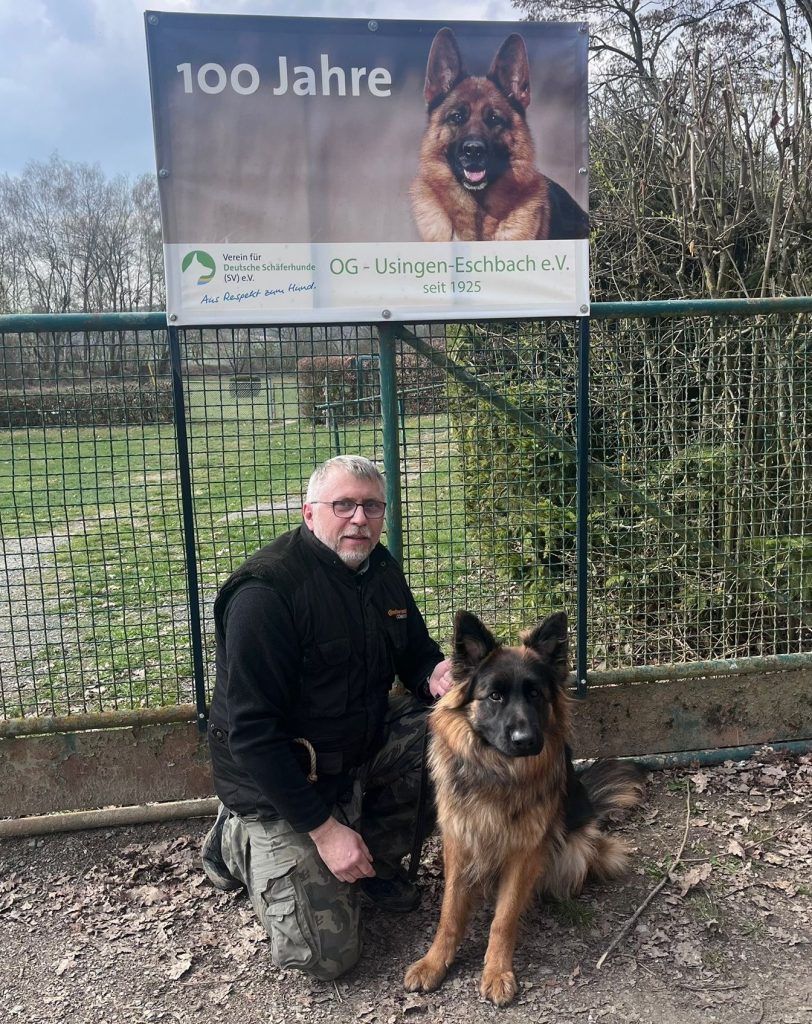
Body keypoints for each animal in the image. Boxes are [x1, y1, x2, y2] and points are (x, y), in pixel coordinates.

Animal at [403, 610, 644, 1007]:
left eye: (535, 694)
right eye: (494, 696)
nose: (526, 740)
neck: (499, 773)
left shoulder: (524, 851)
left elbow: (504, 919)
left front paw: (497, 972)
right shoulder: (459, 841)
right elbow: (450, 912)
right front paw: (434, 962)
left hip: (576, 849)